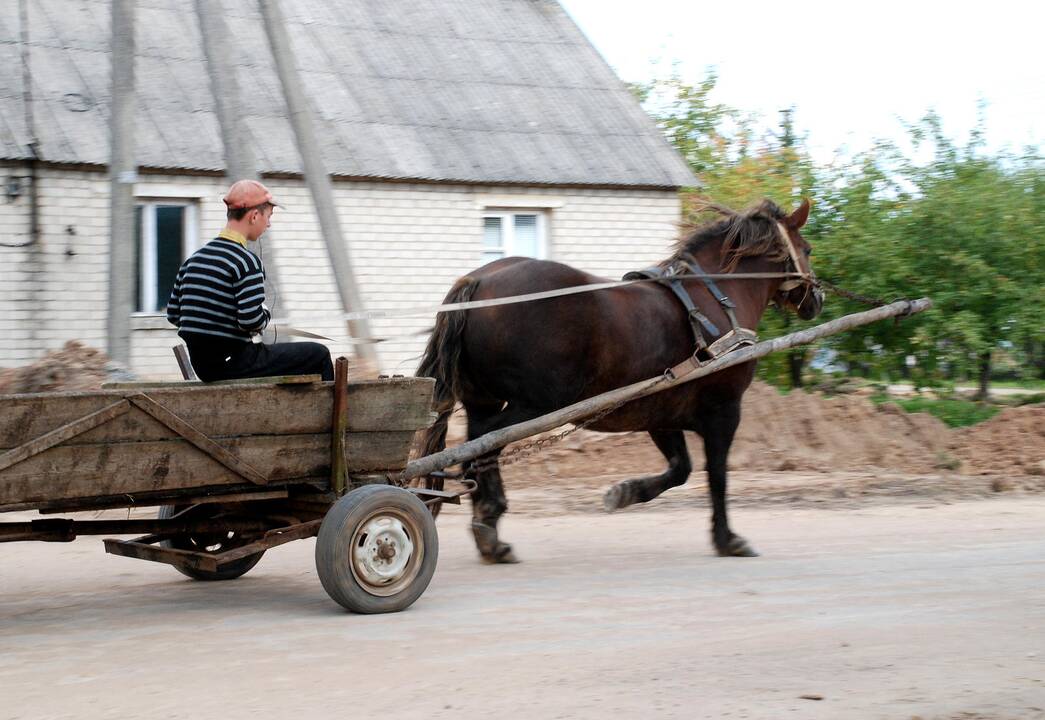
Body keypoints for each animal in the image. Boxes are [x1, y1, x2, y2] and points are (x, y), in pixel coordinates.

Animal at [415, 196, 823, 560]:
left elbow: (681, 469)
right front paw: (727, 539)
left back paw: (491, 532)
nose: (816, 299)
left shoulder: (661, 411)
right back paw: (489, 519)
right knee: (485, 442)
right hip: (534, 405)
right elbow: (717, 476)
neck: (713, 301)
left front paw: (625, 492)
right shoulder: (723, 411)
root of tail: (479, 280)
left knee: (478, 443)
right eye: (807, 248)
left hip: (484, 400)